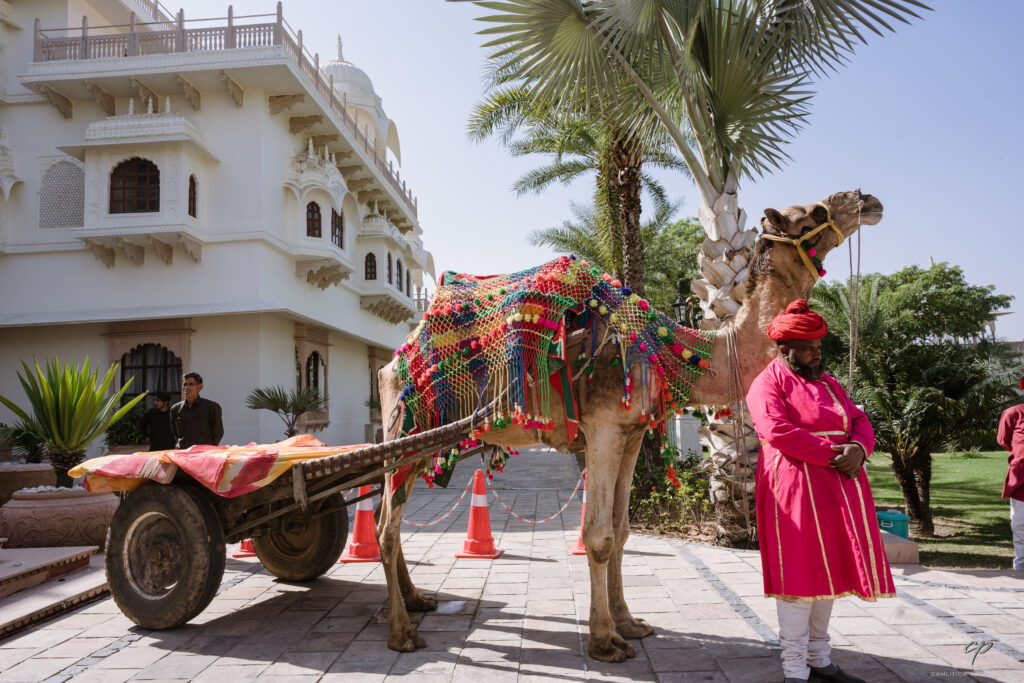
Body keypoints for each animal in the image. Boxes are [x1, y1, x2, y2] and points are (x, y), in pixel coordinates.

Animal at [376, 188, 880, 663]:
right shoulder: (602, 431)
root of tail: (396, 357)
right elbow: (597, 536)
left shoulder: (631, 434)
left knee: (391, 518)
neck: (673, 350)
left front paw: (630, 623)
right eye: (812, 214)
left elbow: (620, 532)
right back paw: (402, 634)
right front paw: (605, 641)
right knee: (386, 525)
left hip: (421, 442)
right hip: (403, 428)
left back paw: (417, 601)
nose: (867, 199)